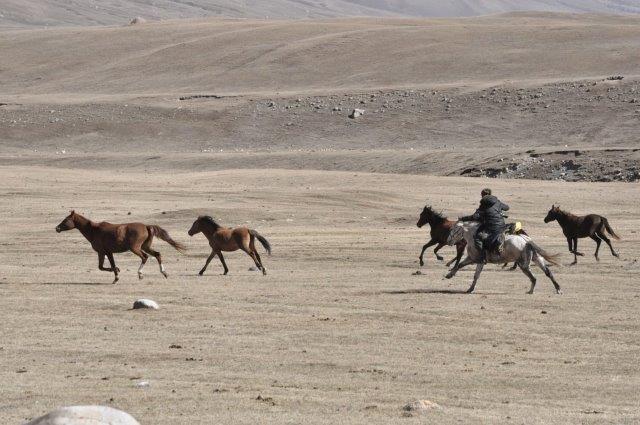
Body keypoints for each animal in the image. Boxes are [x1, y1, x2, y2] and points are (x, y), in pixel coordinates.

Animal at [55, 210, 186, 284]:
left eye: (65, 220)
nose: (57, 228)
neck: (94, 230)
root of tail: (146, 226)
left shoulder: (102, 252)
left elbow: (103, 267)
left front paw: (117, 274)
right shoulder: (107, 253)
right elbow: (106, 266)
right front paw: (116, 275)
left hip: (136, 248)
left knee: (145, 257)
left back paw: (140, 274)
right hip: (145, 246)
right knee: (157, 254)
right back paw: (164, 273)